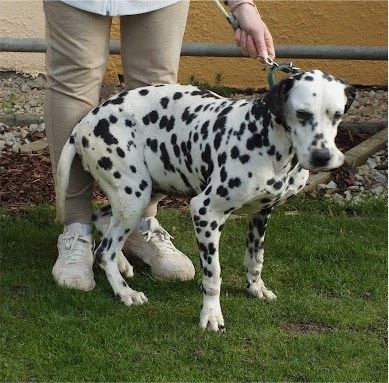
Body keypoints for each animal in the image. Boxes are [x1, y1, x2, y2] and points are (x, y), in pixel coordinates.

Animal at [55, 70, 354, 332]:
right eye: (302, 114)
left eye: (337, 115)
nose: (322, 157)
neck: (267, 139)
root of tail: (83, 124)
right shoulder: (206, 213)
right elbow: (213, 276)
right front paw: (211, 315)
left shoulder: (260, 214)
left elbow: (255, 258)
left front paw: (255, 288)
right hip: (134, 196)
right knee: (104, 250)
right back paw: (125, 292)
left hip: (148, 190)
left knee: (103, 221)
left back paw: (123, 265)